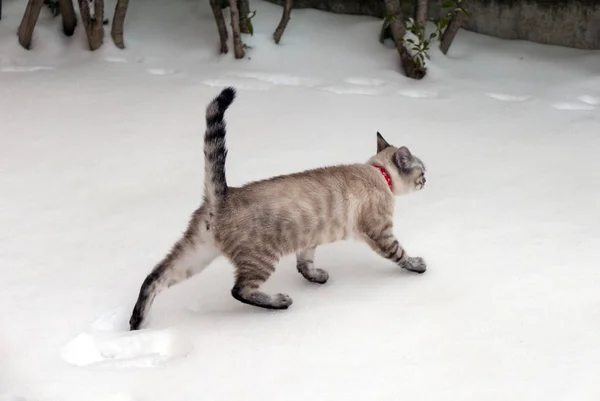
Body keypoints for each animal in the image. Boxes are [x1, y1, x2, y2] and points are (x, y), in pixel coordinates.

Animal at [127, 86, 426, 328]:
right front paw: (418, 266)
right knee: (239, 290)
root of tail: (221, 196)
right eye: (422, 171)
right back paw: (280, 302)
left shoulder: (310, 238)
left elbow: (305, 263)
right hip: (260, 258)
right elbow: (400, 254)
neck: (379, 173)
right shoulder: (380, 232)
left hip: (195, 254)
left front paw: (316, 277)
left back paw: (137, 323)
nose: (427, 180)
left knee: (154, 278)